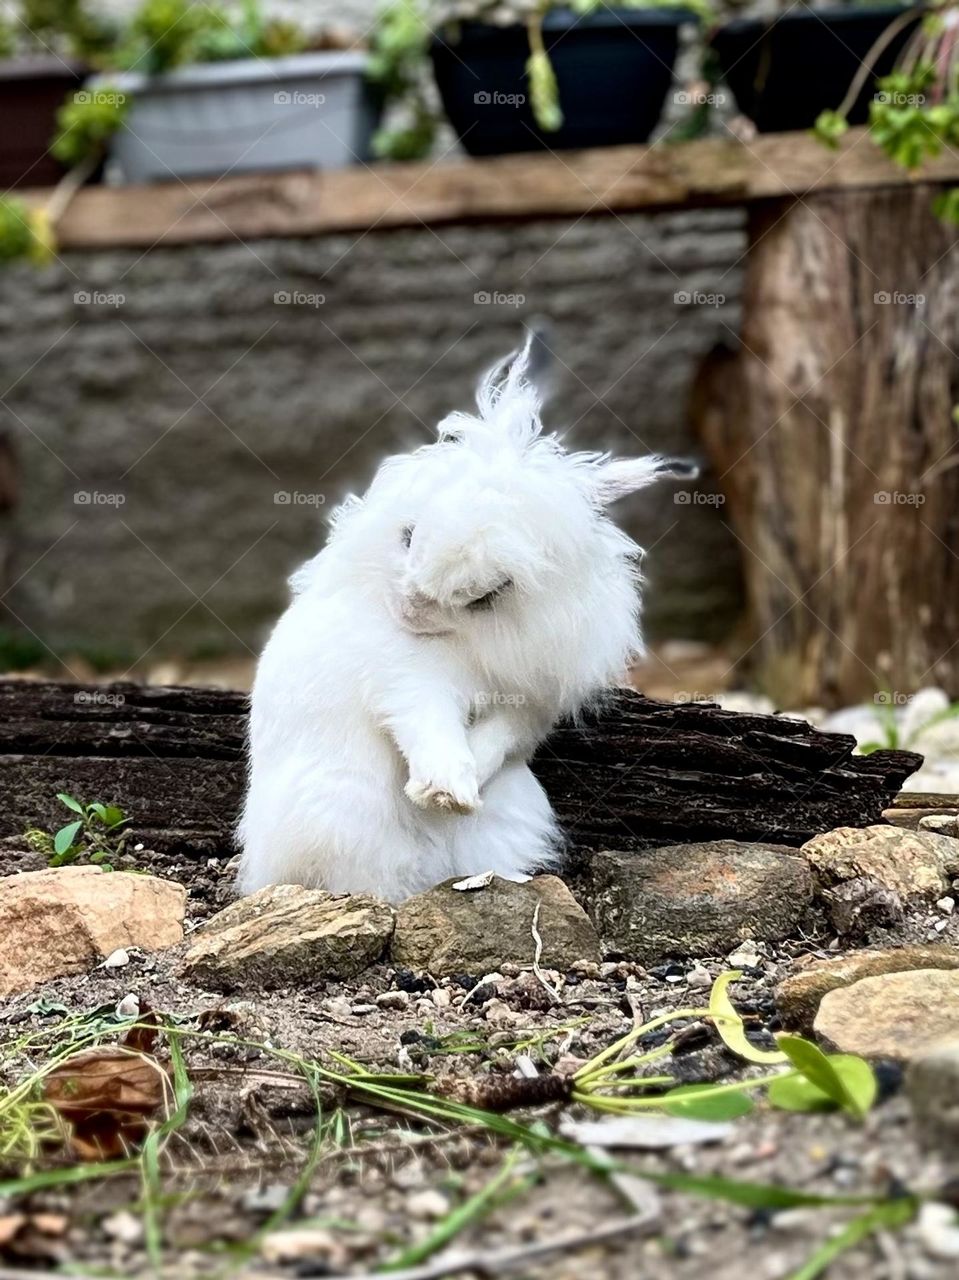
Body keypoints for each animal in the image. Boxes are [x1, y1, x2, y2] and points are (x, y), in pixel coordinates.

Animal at [237, 329, 696, 902]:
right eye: (408, 535)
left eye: (490, 593)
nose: (411, 606)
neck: (470, 641)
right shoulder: (403, 679)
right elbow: (426, 720)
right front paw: (442, 790)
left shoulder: (531, 702)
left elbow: (500, 738)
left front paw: (460, 790)